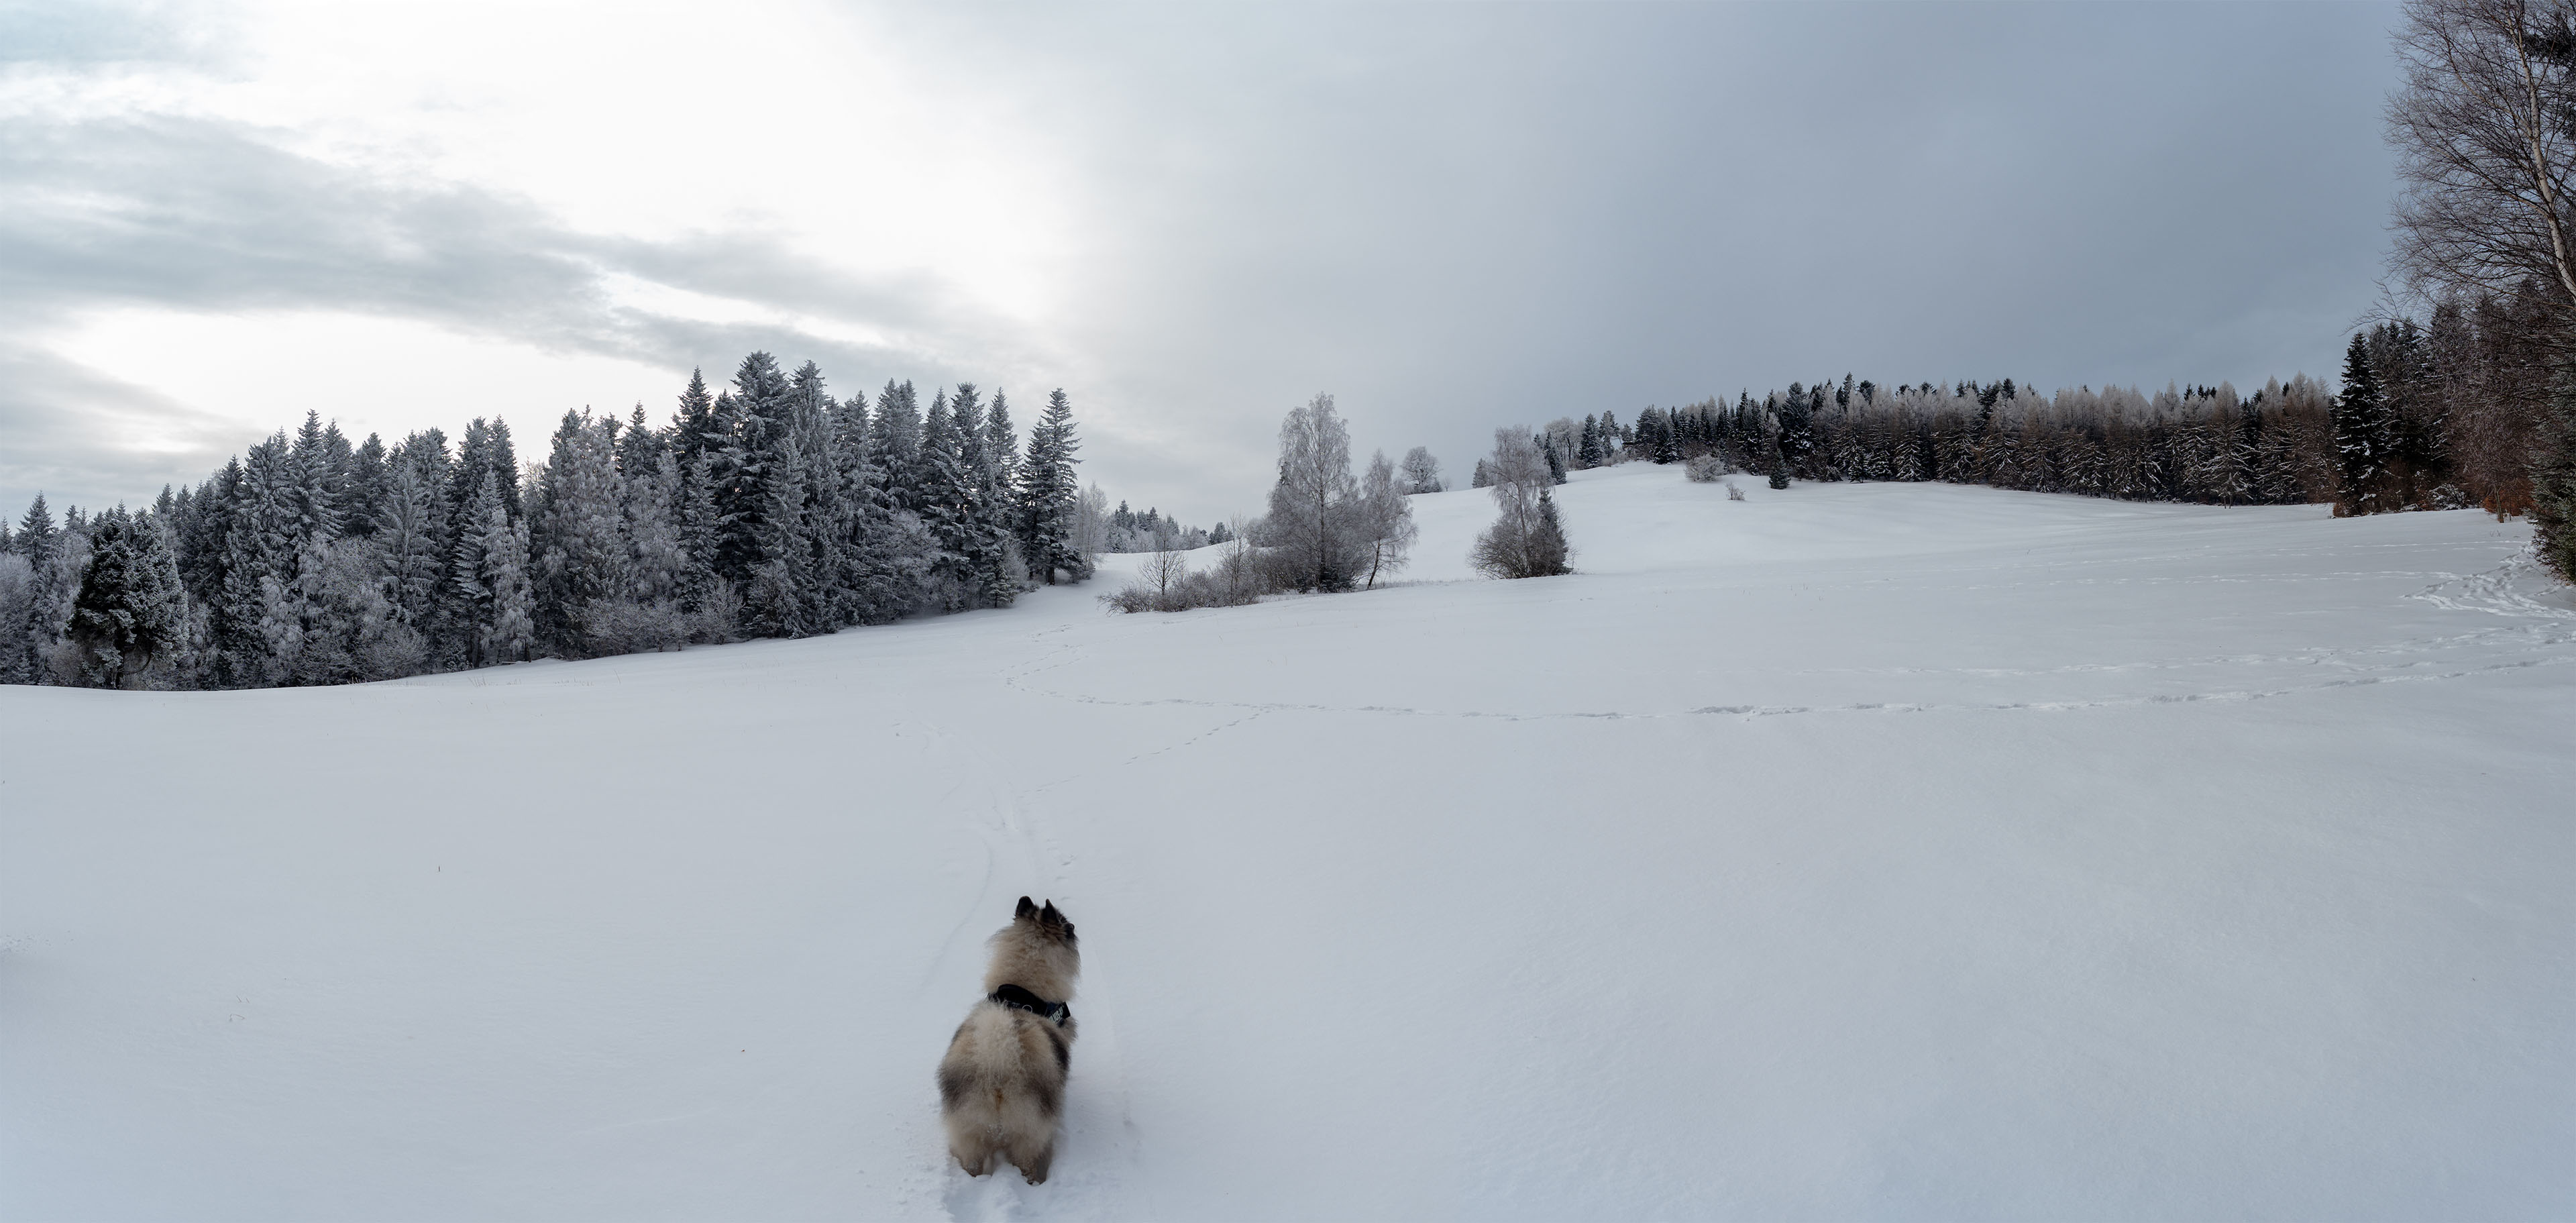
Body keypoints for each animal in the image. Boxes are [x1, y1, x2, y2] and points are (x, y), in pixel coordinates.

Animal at [937, 901, 1077, 1189]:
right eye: (1068, 923)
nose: (1073, 925)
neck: (1021, 992)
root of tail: (997, 1065)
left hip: (970, 1133)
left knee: (972, 1165)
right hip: (1028, 1135)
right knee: (1027, 1166)